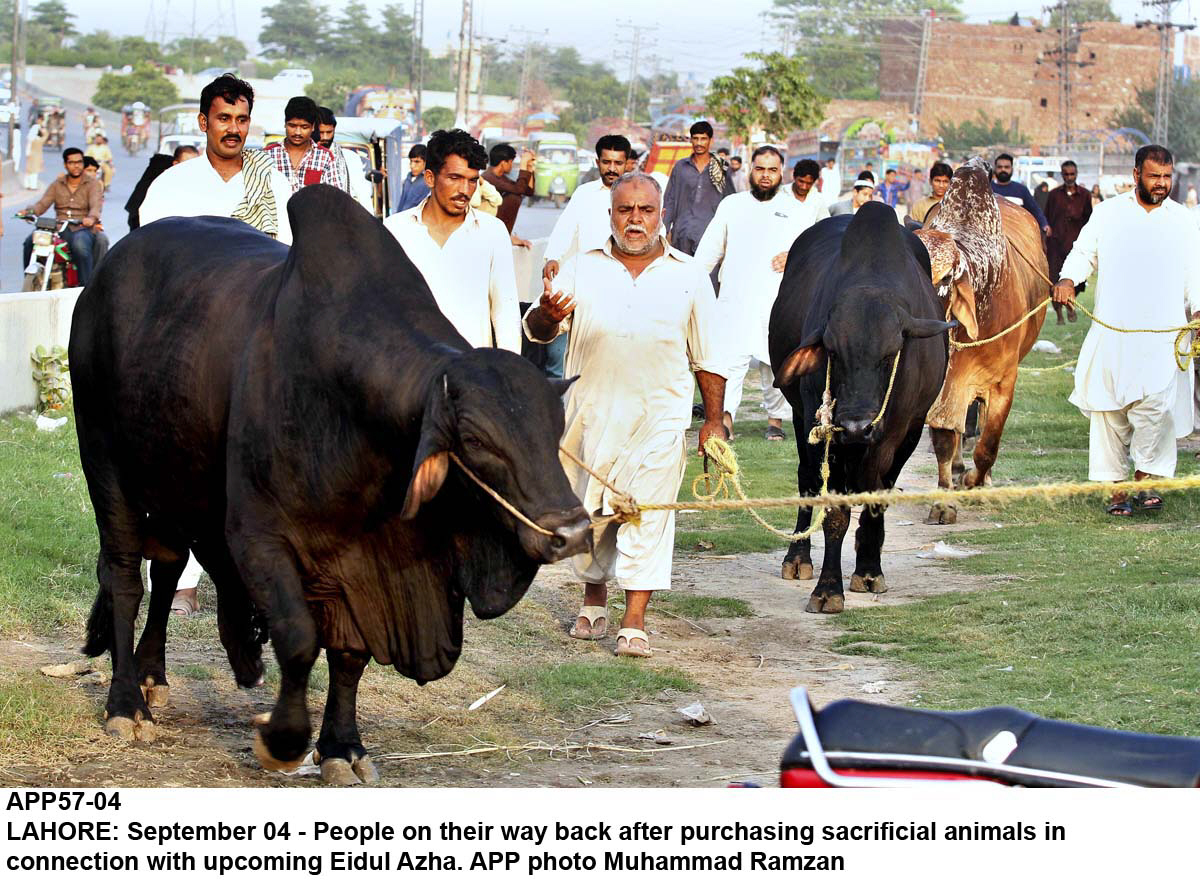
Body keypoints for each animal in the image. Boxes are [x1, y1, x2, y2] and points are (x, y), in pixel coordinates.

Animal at [69, 182, 590, 782]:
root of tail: (103, 276)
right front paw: (282, 739)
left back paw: (153, 676)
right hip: (106, 466)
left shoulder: (355, 563)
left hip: (176, 485)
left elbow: (347, 653)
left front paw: (342, 746)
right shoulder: (259, 538)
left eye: (555, 428)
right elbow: (299, 639)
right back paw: (127, 703)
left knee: (168, 567)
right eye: (477, 442)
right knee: (125, 580)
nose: (573, 533)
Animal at [768, 202, 955, 614]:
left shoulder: (903, 432)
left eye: (890, 354)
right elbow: (835, 511)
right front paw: (827, 589)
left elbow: (876, 497)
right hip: (802, 420)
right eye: (833, 352)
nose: (857, 426)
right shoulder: (826, 436)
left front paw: (869, 569)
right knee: (807, 481)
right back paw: (797, 557)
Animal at [912, 157, 1046, 522]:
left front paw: (976, 480)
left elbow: (988, 445)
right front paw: (944, 500)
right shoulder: (942, 388)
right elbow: (945, 441)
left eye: (946, 277)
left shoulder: (1003, 383)